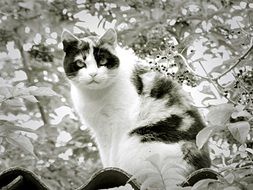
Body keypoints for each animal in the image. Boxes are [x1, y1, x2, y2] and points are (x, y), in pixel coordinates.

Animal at [61, 29, 211, 188]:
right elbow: (106, 153)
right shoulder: (99, 130)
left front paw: (114, 169)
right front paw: (107, 168)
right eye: (80, 63)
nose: (93, 74)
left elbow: (114, 151)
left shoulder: (120, 121)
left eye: (102, 61)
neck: (95, 96)